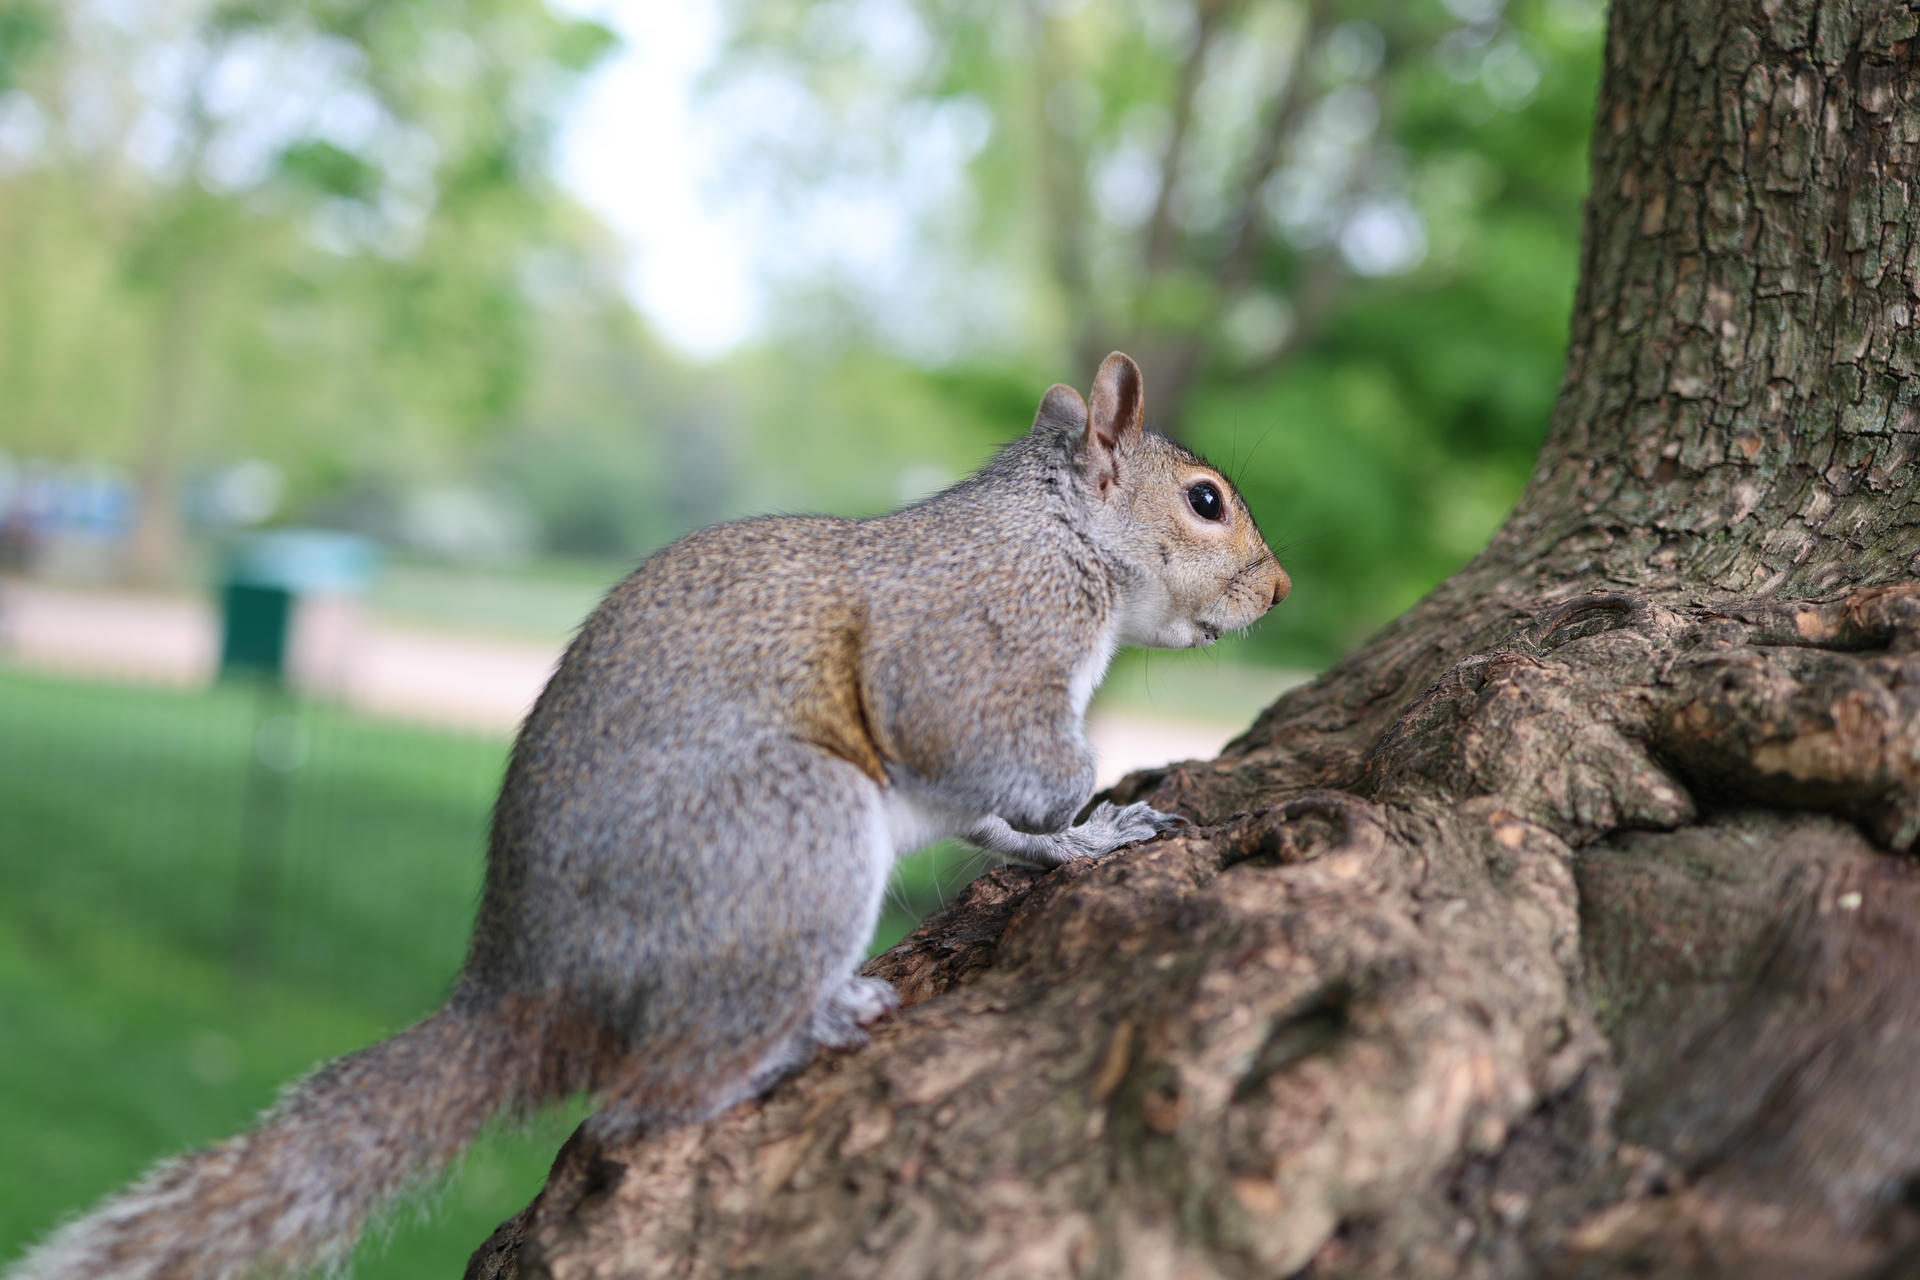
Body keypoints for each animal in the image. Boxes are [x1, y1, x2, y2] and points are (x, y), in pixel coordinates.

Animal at [10, 352, 1288, 1280]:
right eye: (1206, 500)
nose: (1280, 591)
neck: (1068, 534)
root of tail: (530, 986)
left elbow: (1002, 831)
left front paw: (1086, 837)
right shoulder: (983, 639)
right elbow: (991, 742)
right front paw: (1091, 798)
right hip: (788, 834)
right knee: (645, 1102)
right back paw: (805, 1028)